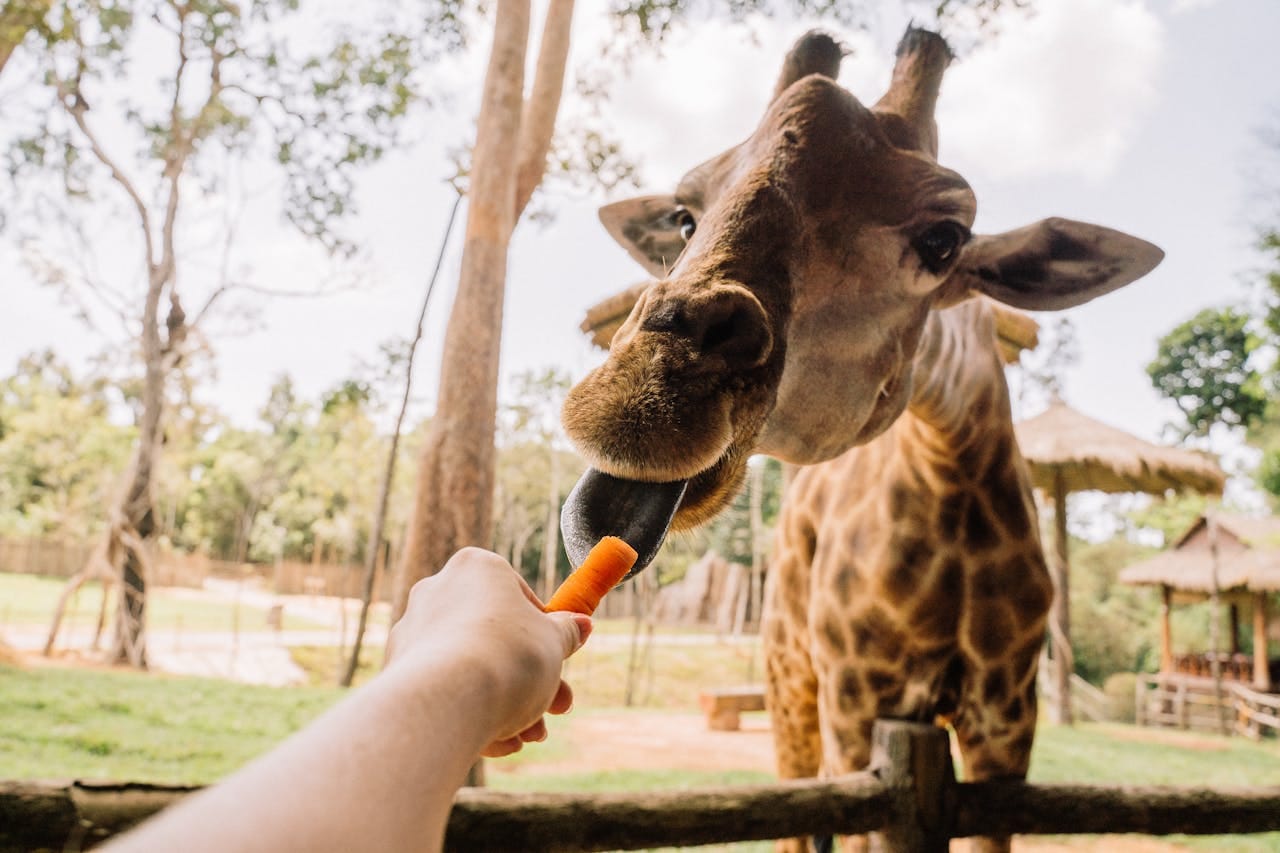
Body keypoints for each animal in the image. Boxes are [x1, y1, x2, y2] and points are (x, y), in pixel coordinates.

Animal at [558, 27, 1163, 852]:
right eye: (685, 217)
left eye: (945, 239)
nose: (637, 402)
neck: (952, 471)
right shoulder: (855, 698)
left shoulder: (1007, 720)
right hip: (789, 675)